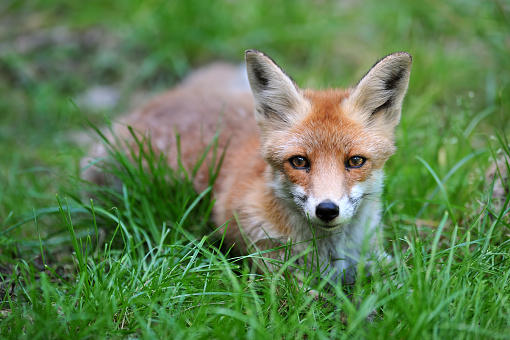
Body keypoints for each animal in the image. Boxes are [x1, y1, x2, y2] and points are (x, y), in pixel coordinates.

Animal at [82, 49, 410, 282]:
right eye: (299, 161)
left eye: (355, 161)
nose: (327, 210)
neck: (332, 253)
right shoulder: (266, 255)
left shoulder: (373, 254)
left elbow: (401, 276)